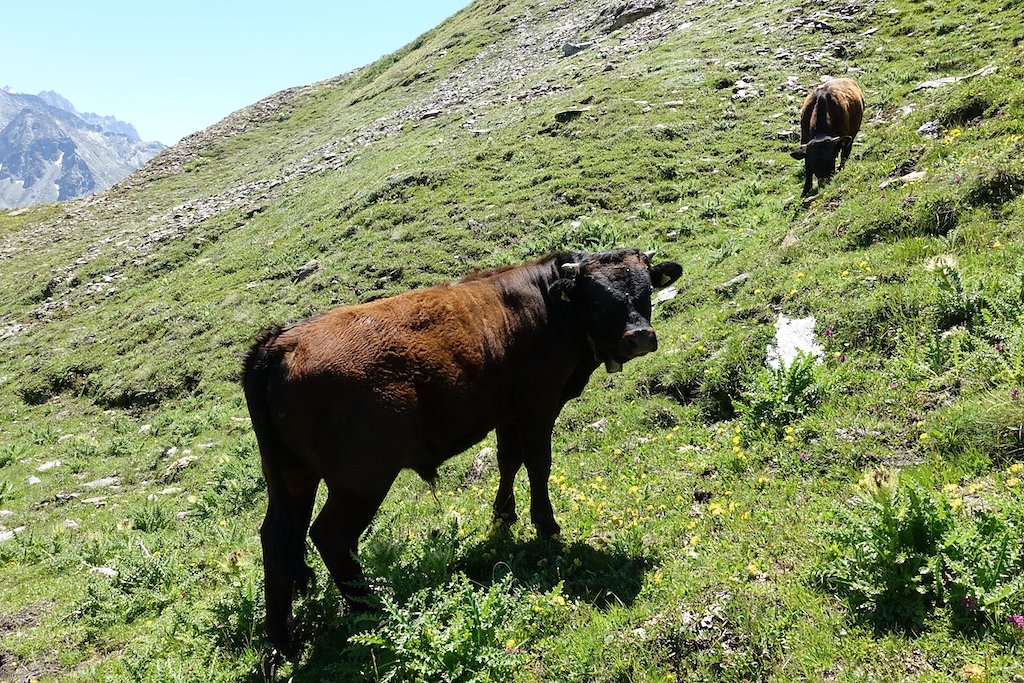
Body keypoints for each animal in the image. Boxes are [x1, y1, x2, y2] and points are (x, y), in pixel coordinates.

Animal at [243, 246, 684, 651]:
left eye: (644, 289)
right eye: (596, 298)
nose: (640, 337)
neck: (548, 307)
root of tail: (278, 342)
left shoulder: (507, 412)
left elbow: (509, 460)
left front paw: (503, 517)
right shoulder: (538, 404)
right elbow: (538, 463)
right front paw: (546, 525)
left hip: (293, 475)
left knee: (277, 538)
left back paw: (282, 640)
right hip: (362, 478)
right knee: (330, 535)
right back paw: (370, 608)